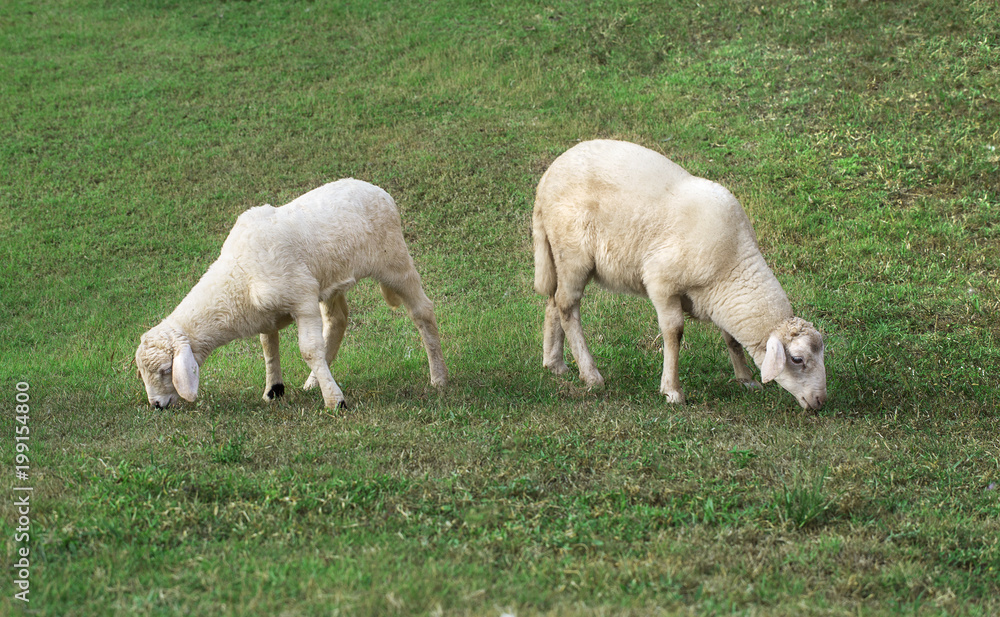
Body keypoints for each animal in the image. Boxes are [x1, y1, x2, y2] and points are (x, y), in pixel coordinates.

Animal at [135, 178, 448, 410]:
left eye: (165, 370)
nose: (156, 405)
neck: (238, 278)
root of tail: (379, 191)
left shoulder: (303, 300)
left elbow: (308, 349)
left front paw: (335, 402)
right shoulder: (268, 313)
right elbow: (268, 347)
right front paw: (274, 389)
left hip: (394, 260)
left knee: (422, 311)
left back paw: (439, 377)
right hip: (331, 279)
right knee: (338, 320)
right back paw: (313, 382)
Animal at [532, 140, 827, 410]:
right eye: (797, 360)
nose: (820, 401)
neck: (733, 264)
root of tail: (547, 178)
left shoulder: (719, 296)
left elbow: (731, 338)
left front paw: (746, 379)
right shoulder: (661, 283)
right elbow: (674, 333)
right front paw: (672, 391)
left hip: (560, 254)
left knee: (554, 300)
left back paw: (554, 363)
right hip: (573, 252)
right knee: (567, 306)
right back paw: (591, 375)